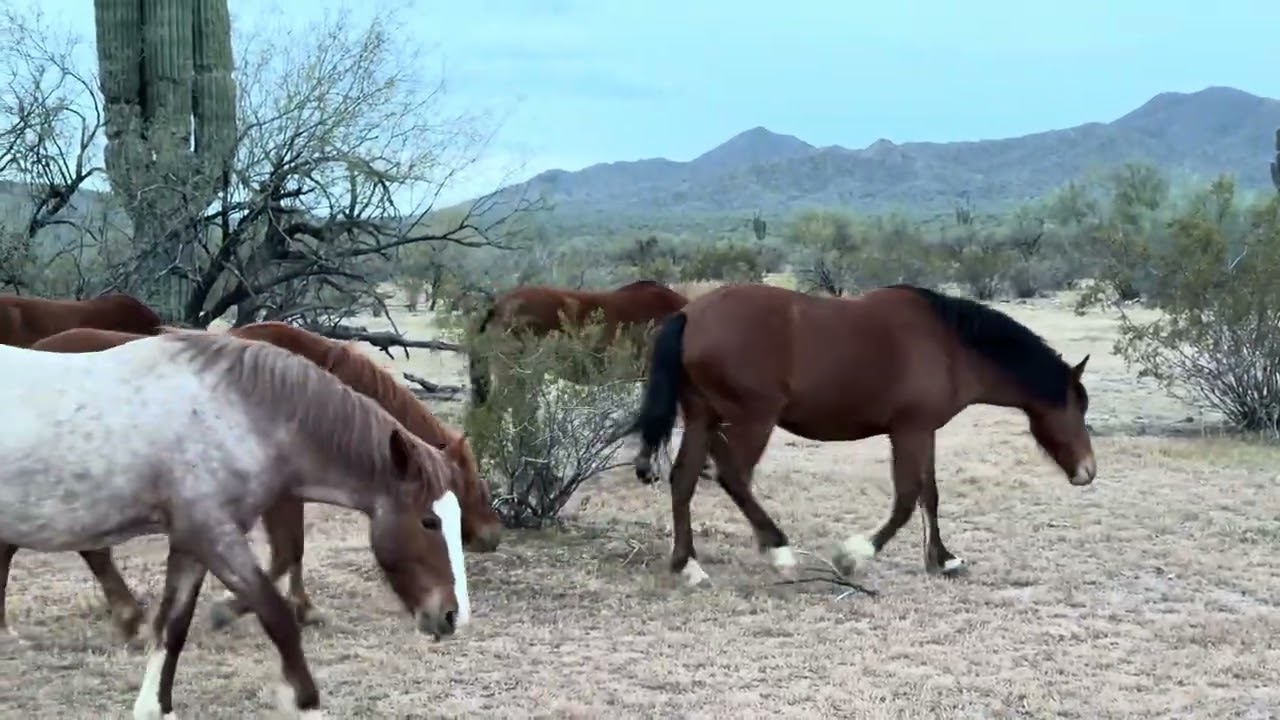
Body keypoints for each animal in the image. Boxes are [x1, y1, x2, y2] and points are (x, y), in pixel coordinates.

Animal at [0, 330, 469, 719]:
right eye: (429, 521)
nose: (452, 616)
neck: (237, 413)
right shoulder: (214, 535)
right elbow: (277, 616)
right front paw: (303, 702)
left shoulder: (191, 543)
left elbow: (173, 627)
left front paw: (156, 706)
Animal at [628, 282, 1095, 587]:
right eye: (1079, 407)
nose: (1088, 471)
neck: (949, 346)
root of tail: (689, 315)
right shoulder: (908, 431)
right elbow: (907, 499)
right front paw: (854, 556)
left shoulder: (923, 431)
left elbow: (930, 495)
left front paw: (943, 559)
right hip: (752, 421)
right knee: (733, 476)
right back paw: (779, 551)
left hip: (702, 418)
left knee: (684, 479)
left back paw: (687, 565)